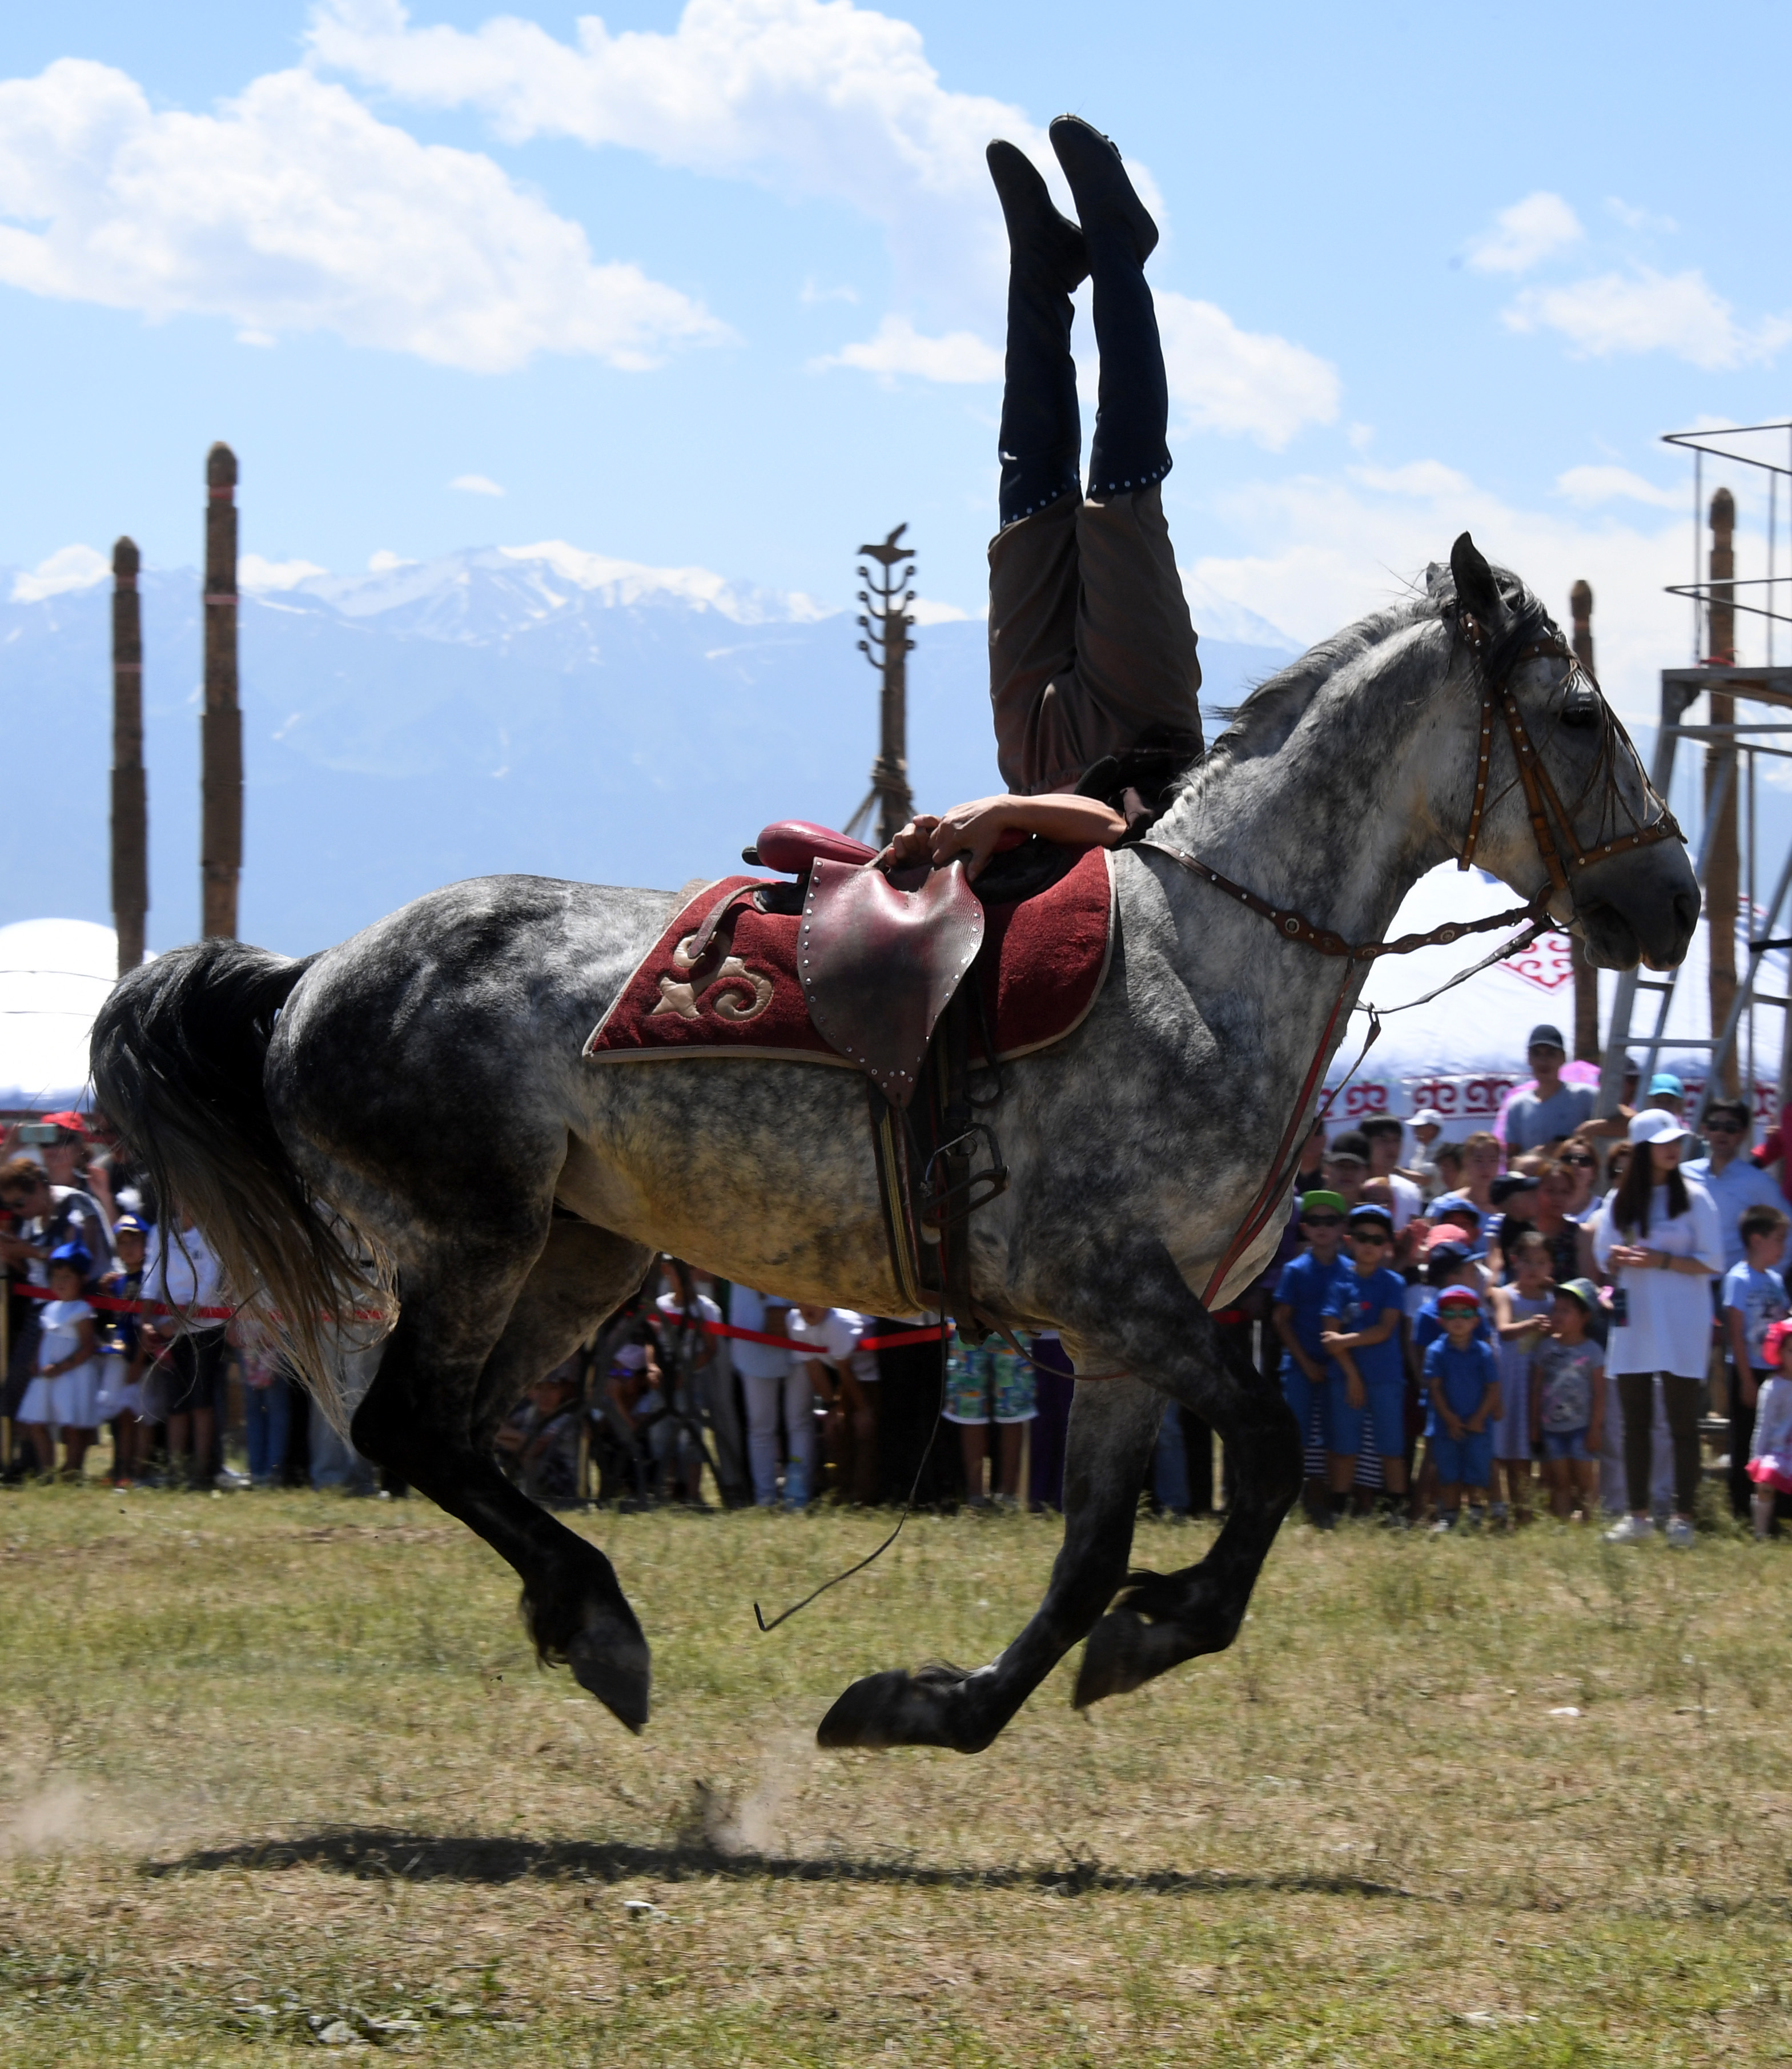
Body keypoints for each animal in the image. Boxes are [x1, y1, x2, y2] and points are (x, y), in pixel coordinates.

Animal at [98, 533, 1688, 1746]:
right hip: (477, 1239)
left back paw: (578, 1608)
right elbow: (1279, 1454)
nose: (1671, 902)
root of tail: (308, 977)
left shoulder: (1127, 1339)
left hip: (580, 1255)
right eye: (1577, 717)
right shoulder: (1121, 1294)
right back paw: (600, 1616)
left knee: (456, 1434)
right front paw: (1157, 1627)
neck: (1207, 954)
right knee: (405, 1426)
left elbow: (1091, 1550)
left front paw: (947, 1700)